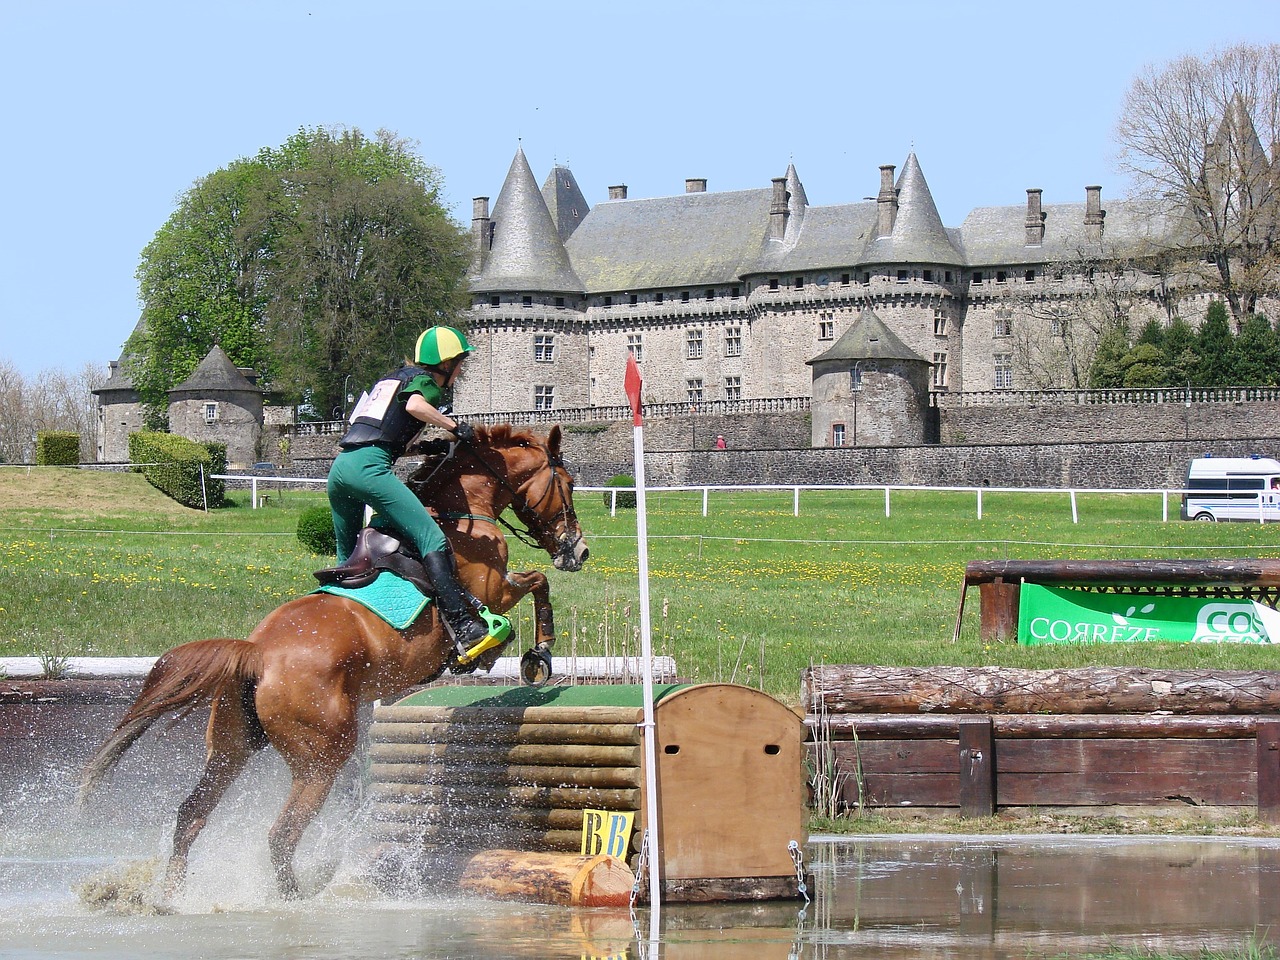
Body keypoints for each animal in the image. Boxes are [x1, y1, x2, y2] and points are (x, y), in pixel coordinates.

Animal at [82, 427, 591, 901]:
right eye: (567, 482)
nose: (579, 550)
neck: (462, 511)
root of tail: (257, 653)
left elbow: (537, 581)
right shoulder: (494, 589)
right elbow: (536, 583)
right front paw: (536, 655)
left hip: (232, 746)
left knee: (192, 814)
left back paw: (170, 899)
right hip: (321, 758)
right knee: (282, 834)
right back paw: (296, 899)